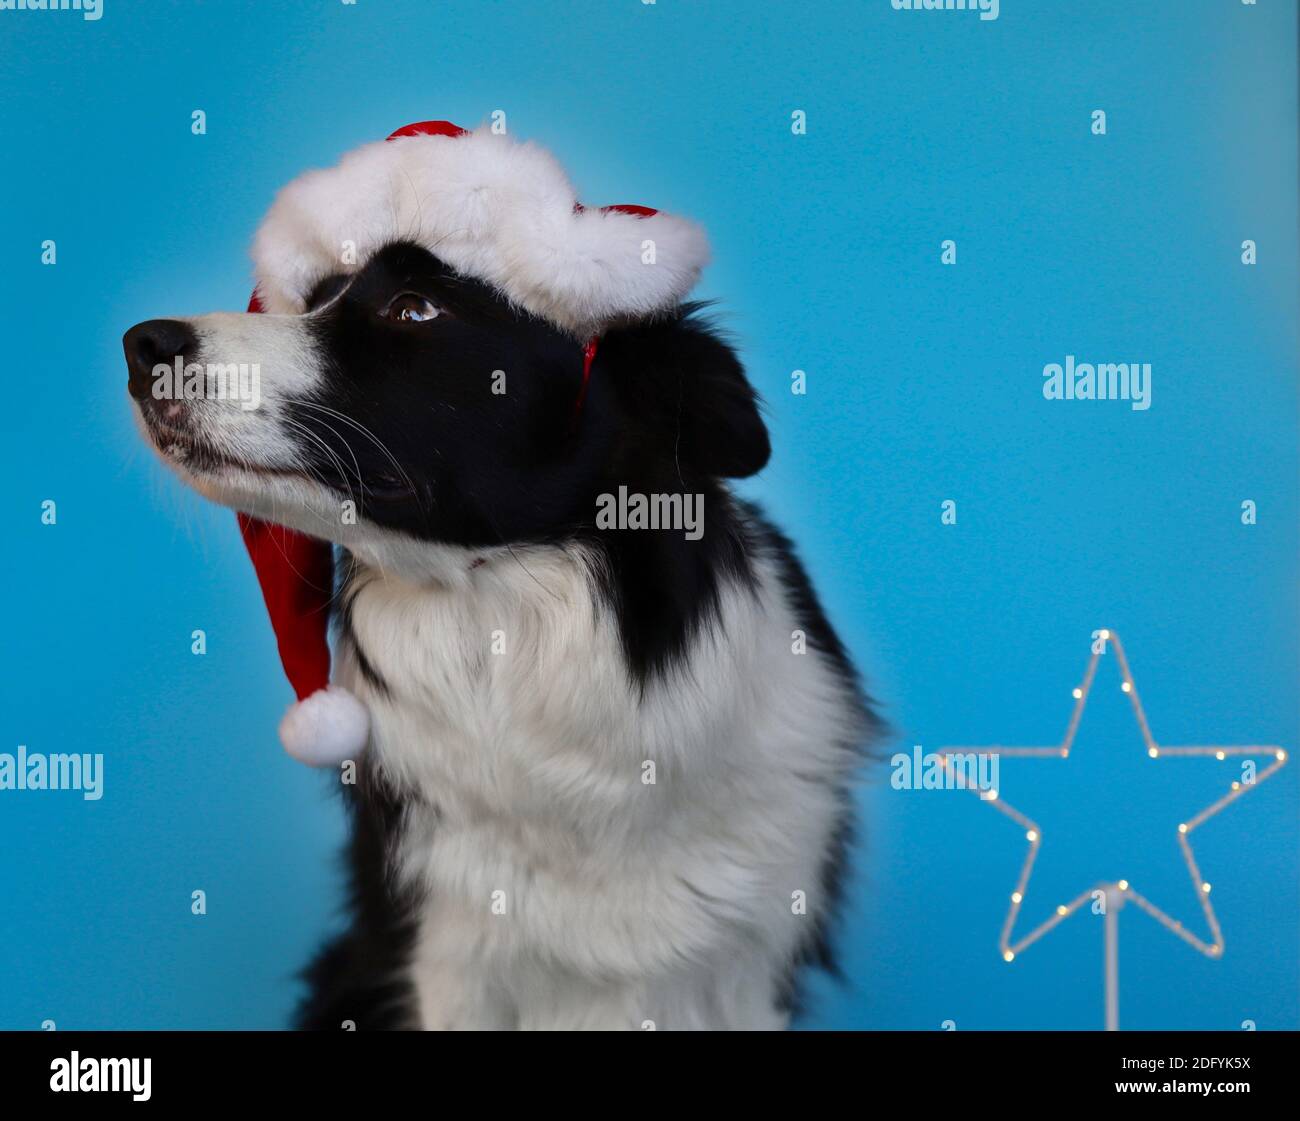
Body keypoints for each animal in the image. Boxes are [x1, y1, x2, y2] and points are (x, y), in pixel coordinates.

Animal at [122, 124, 878, 1035]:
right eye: (320, 297)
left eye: (415, 308)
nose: (142, 345)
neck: (505, 616)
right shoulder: (447, 954)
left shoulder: (744, 964)